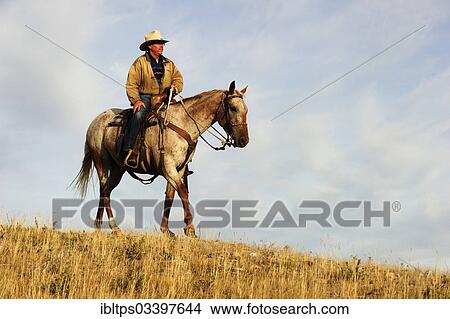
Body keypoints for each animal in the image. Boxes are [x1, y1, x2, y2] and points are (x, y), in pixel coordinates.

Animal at [72, 82, 251, 238]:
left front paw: (166, 230)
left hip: (118, 168)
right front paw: (189, 228)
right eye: (233, 108)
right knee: (104, 189)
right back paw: (114, 227)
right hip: (100, 161)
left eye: (246, 110)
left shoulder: (178, 169)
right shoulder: (168, 167)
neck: (183, 123)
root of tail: (95, 122)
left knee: (106, 190)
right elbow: (183, 192)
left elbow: (170, 196)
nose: (244, 140)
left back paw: (99, 225)